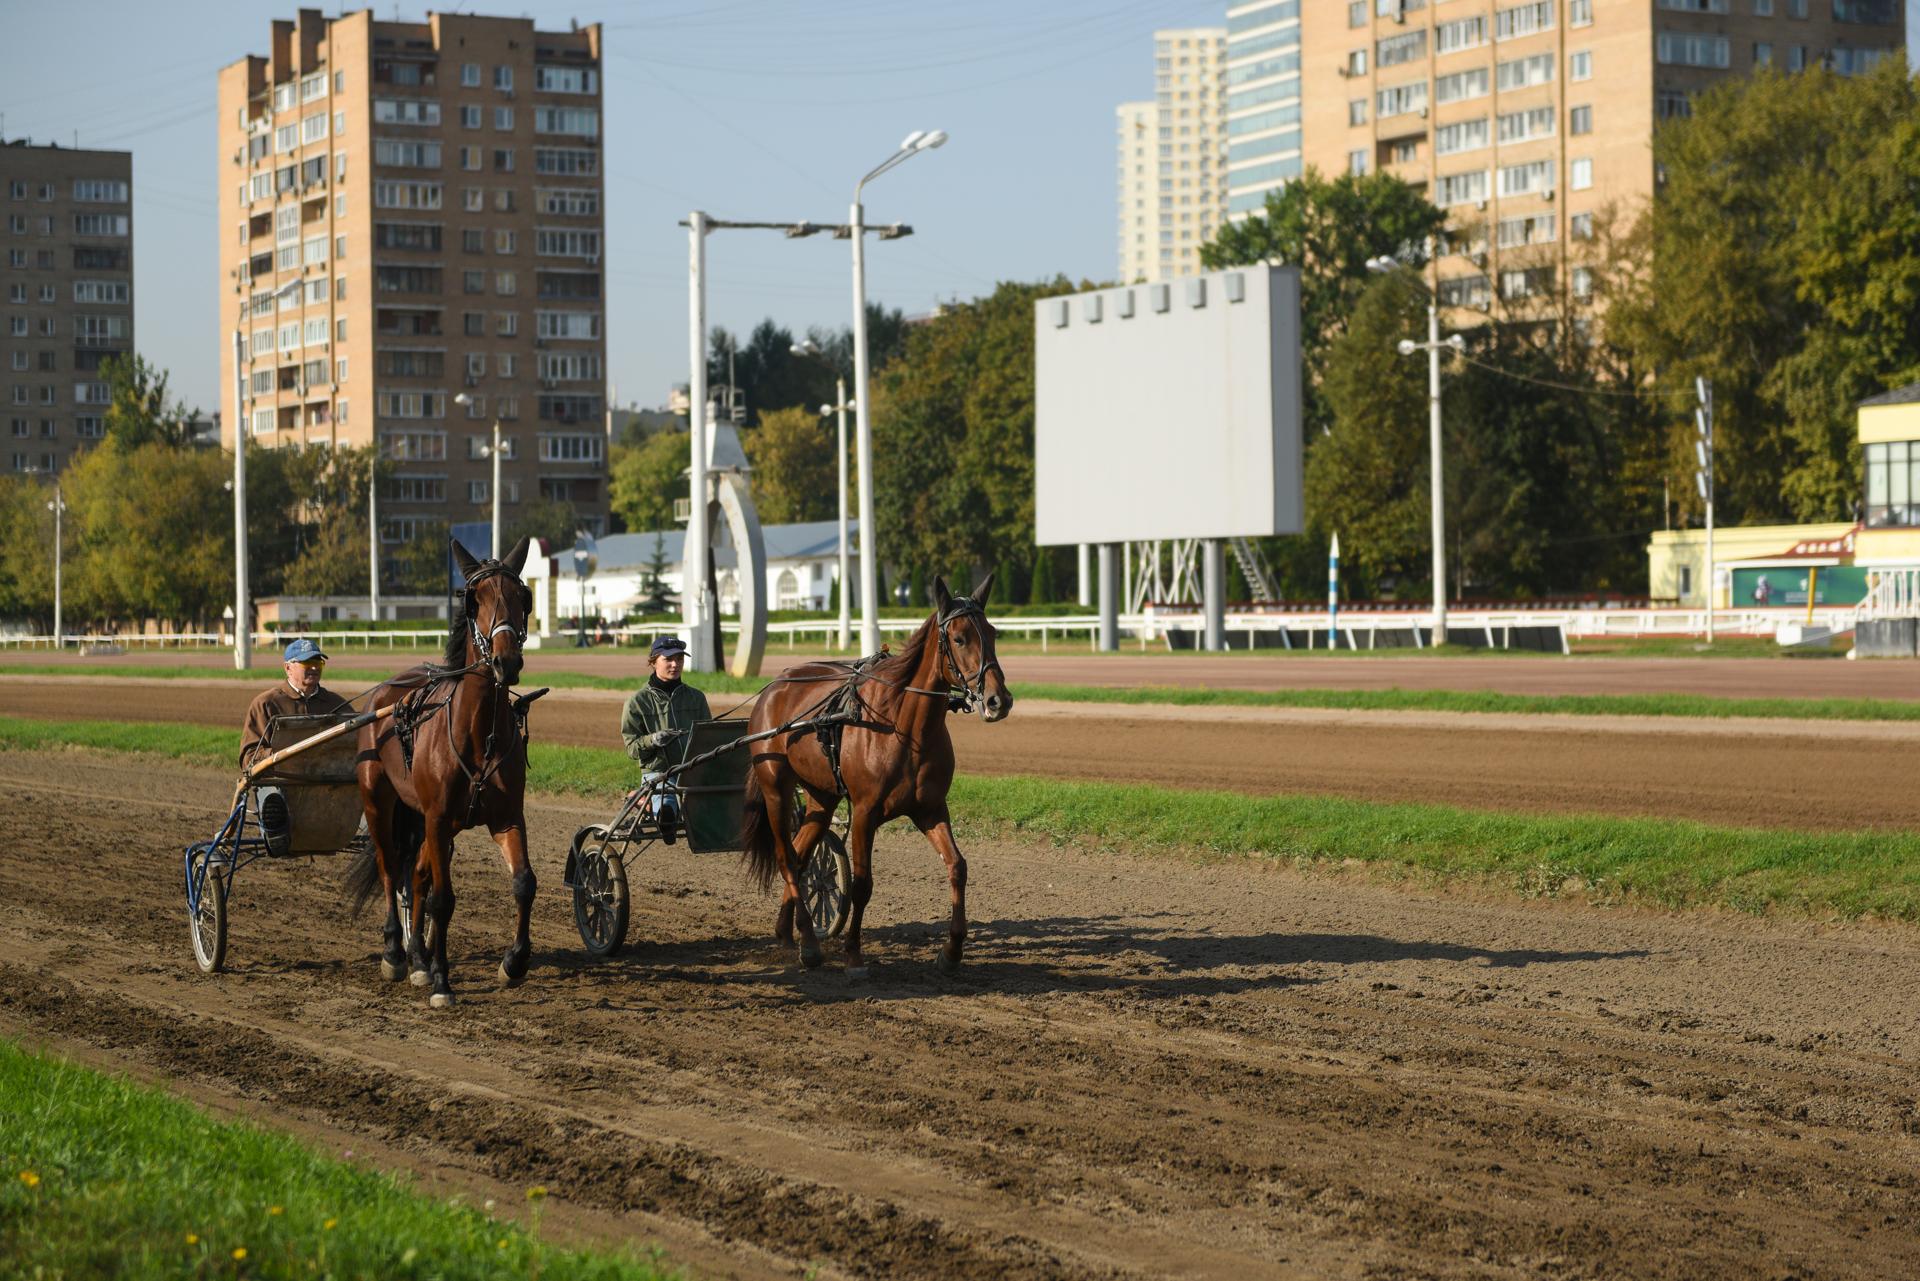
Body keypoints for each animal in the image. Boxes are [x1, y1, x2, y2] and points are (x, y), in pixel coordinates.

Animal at [347, 537, 537, 1006]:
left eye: (521, 596)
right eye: (475, 599)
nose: (506, 661)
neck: (479, 732)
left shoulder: (506, 817)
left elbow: (524, 883)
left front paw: (513, 962)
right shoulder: (436, 818)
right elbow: (443, 900)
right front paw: (441, 981)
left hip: (427, 821)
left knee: (415, 876)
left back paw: (418, 955)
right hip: (380, 803)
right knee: (389, 867)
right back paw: (397, 953)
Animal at [741, 576, 1021, 975]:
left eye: (993, 633)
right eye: (959, 638)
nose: (999, 700)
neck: (903, 725)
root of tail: (775, 685)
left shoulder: (930, 808)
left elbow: (957, 867)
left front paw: (951, 951)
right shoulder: (864, 812)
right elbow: (862, 884)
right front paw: (854, 954)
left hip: (821, 795)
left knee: (801, 852)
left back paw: (788, 932)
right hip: (775, 788)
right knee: (787, 857)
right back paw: (809, 943)